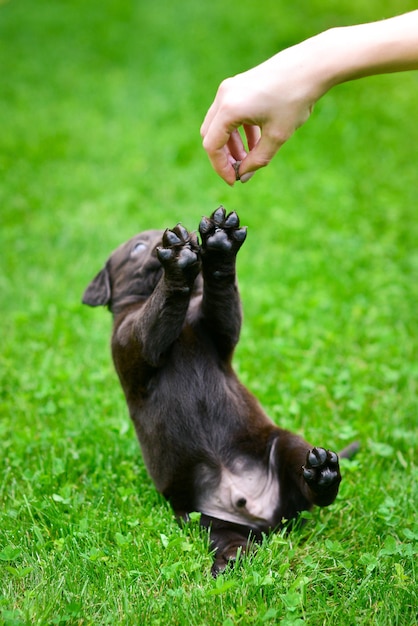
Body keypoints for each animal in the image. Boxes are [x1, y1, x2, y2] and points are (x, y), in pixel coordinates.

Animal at [83, 207, 348, 572]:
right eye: (136, 247)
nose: (171, 237)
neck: (184, 321)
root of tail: (266, 516)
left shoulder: (218, 327)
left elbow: (221, 293)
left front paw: (221, 243)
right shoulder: (136, 339)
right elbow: (158, 311)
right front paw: (178, 260)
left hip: (284, 447)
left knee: (309, 483)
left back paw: (323, 474)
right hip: (201, 518)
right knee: (227, 537)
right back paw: (232, 557)